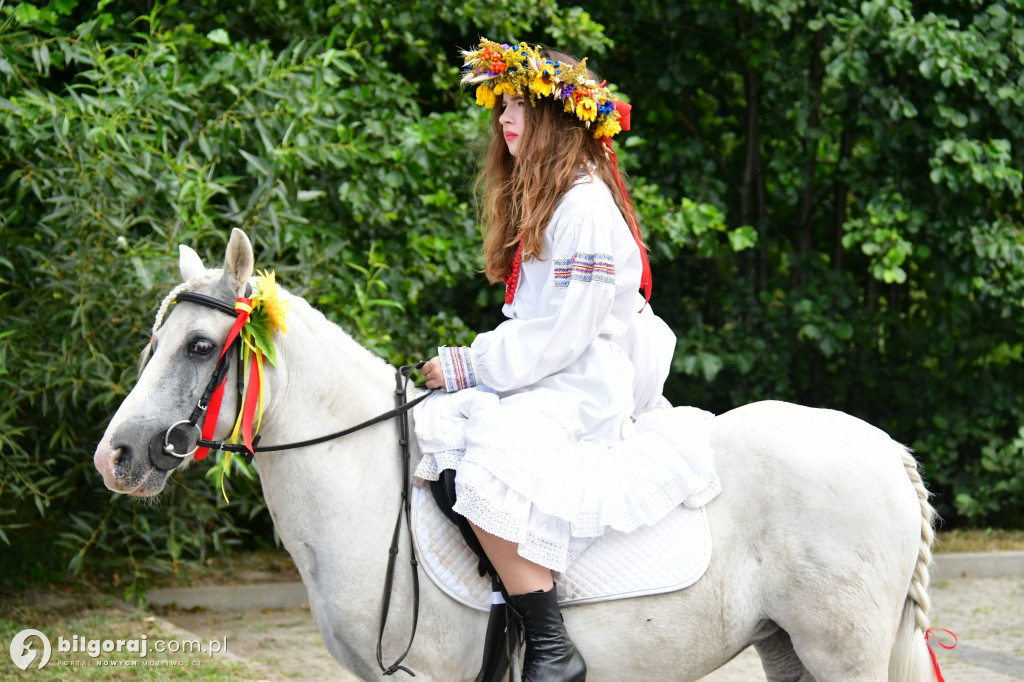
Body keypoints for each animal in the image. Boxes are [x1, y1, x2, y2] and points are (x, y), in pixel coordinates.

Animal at [96, 229, 942, 679]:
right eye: (154, 342)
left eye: (199, 346)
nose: (117, 457)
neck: (367, 490)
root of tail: (885, 451)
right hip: (790, 647)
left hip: (842, 650)